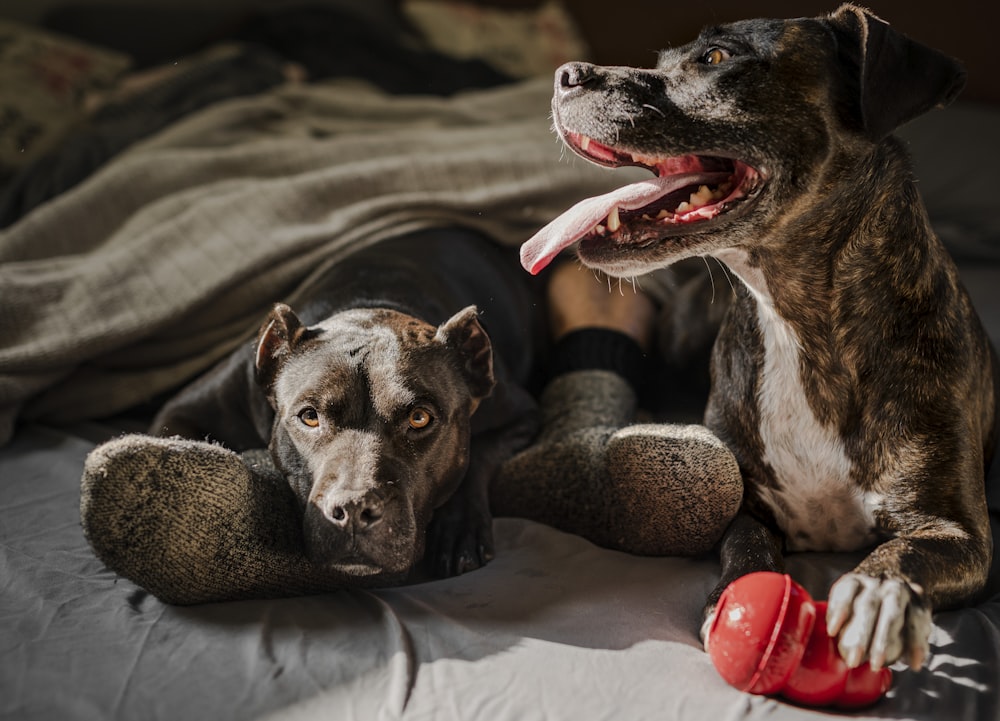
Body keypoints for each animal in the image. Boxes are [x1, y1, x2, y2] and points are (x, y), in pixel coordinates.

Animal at [150, 229, 540, 580]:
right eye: (309, 417)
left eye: (419, 418)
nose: (354, 509)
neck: (368, 310)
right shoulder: (183, 408)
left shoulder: (522, 414)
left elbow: (479, 456)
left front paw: (459, 530)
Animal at [520, 4, 1000, 668]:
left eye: (717, 58)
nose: (565, 74)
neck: (796, 323)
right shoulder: (745, 506)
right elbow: (746, 547)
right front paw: (737, 597)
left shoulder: (961, 534)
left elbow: (908, 550)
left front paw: (878, 593)